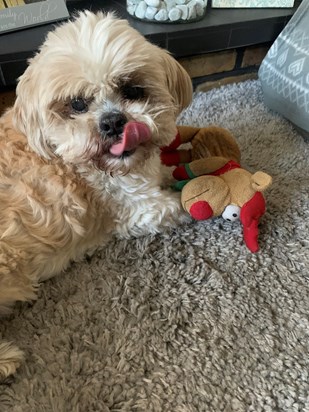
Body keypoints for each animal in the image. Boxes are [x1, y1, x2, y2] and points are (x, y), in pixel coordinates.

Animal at [0, 11, 192, 382]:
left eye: (132, 90)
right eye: (77, 103)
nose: (113, 121)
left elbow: (165, 171)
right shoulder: (138, 209)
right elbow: (177, 203)